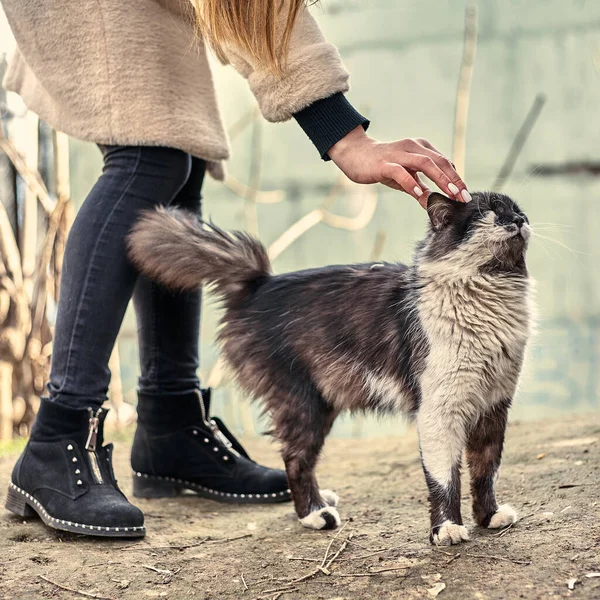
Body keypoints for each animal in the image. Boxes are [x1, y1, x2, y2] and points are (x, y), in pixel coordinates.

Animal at [127, 191, 536, 544]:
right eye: (489, 212)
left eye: (518, 210)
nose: (520, 219)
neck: (490, 294)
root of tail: (261, 283)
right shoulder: (440, 410)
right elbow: (444, 478)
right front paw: (447, 529)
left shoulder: (493, 405)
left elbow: (486, 469)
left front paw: (489, 516)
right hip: (301, 403)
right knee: (295, 460)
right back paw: (315, 514)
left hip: (319, 405)